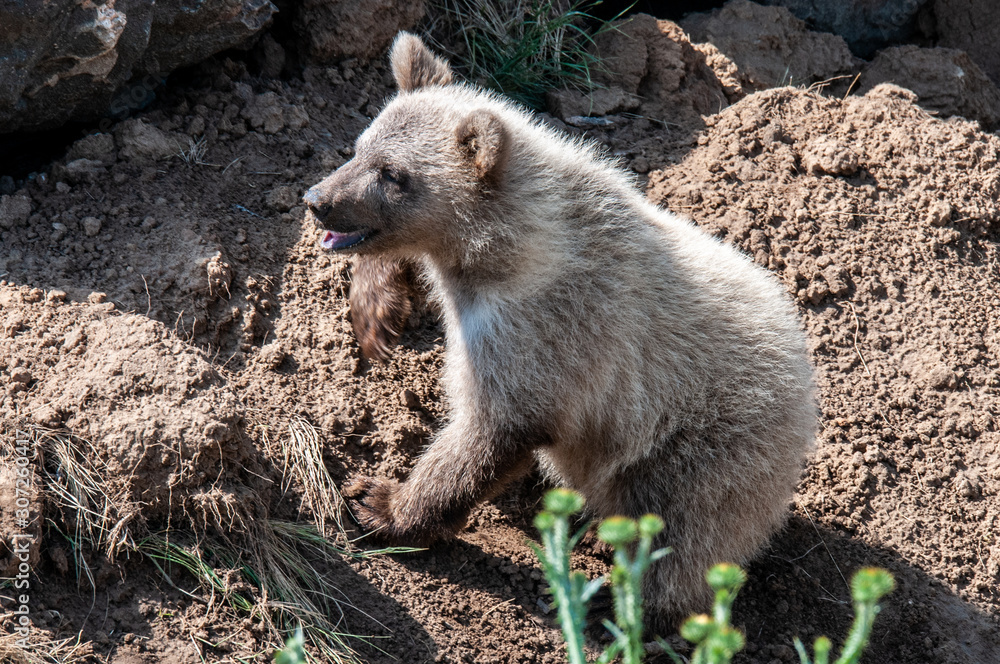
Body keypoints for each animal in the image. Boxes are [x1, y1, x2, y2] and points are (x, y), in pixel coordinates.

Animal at [302, 32, 817, 625]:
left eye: (393, 173)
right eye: (360, 146)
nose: (318, 201)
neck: (504, 254)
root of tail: (808, 389)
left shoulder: (550, 333)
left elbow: (491, 430)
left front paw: (381, 502)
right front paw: (374, 309)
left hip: (709, 442)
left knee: (683, 532)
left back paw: (617, 600)